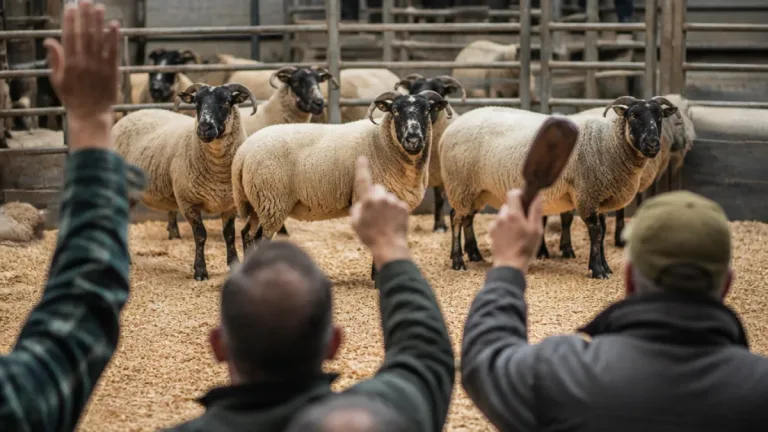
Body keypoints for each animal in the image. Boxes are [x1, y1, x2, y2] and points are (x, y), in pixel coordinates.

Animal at [112, 82, 258, 281]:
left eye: (226, 102)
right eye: (197, 102)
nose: (204, 128)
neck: (218, 171)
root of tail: (128, 116)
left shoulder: (230, 204)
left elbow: (229, 234)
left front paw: (234, 265)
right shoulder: (187, 202)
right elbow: (201, 235)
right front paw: (200, 271)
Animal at [231, 90, 451, 280]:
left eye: (427, 110)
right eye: (395, 110)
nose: (413, 139)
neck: (381, 142)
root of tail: (243, 153)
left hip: (255, 202)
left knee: (246, 235)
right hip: (272, 201)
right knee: (260, 238)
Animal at [439, 96, 680, 279]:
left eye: (659, 117)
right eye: (632, 116)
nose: (652, 144)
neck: (608, 142)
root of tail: (450, 129)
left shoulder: (599, 196)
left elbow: (602, 232)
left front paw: (605, 266)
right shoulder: (586, 194)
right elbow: (596, 232)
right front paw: (598, 270)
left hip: (477, 191)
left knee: (468, 218)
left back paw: (474, 254)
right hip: (459, 184)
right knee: (456, 218)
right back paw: (458, 261)